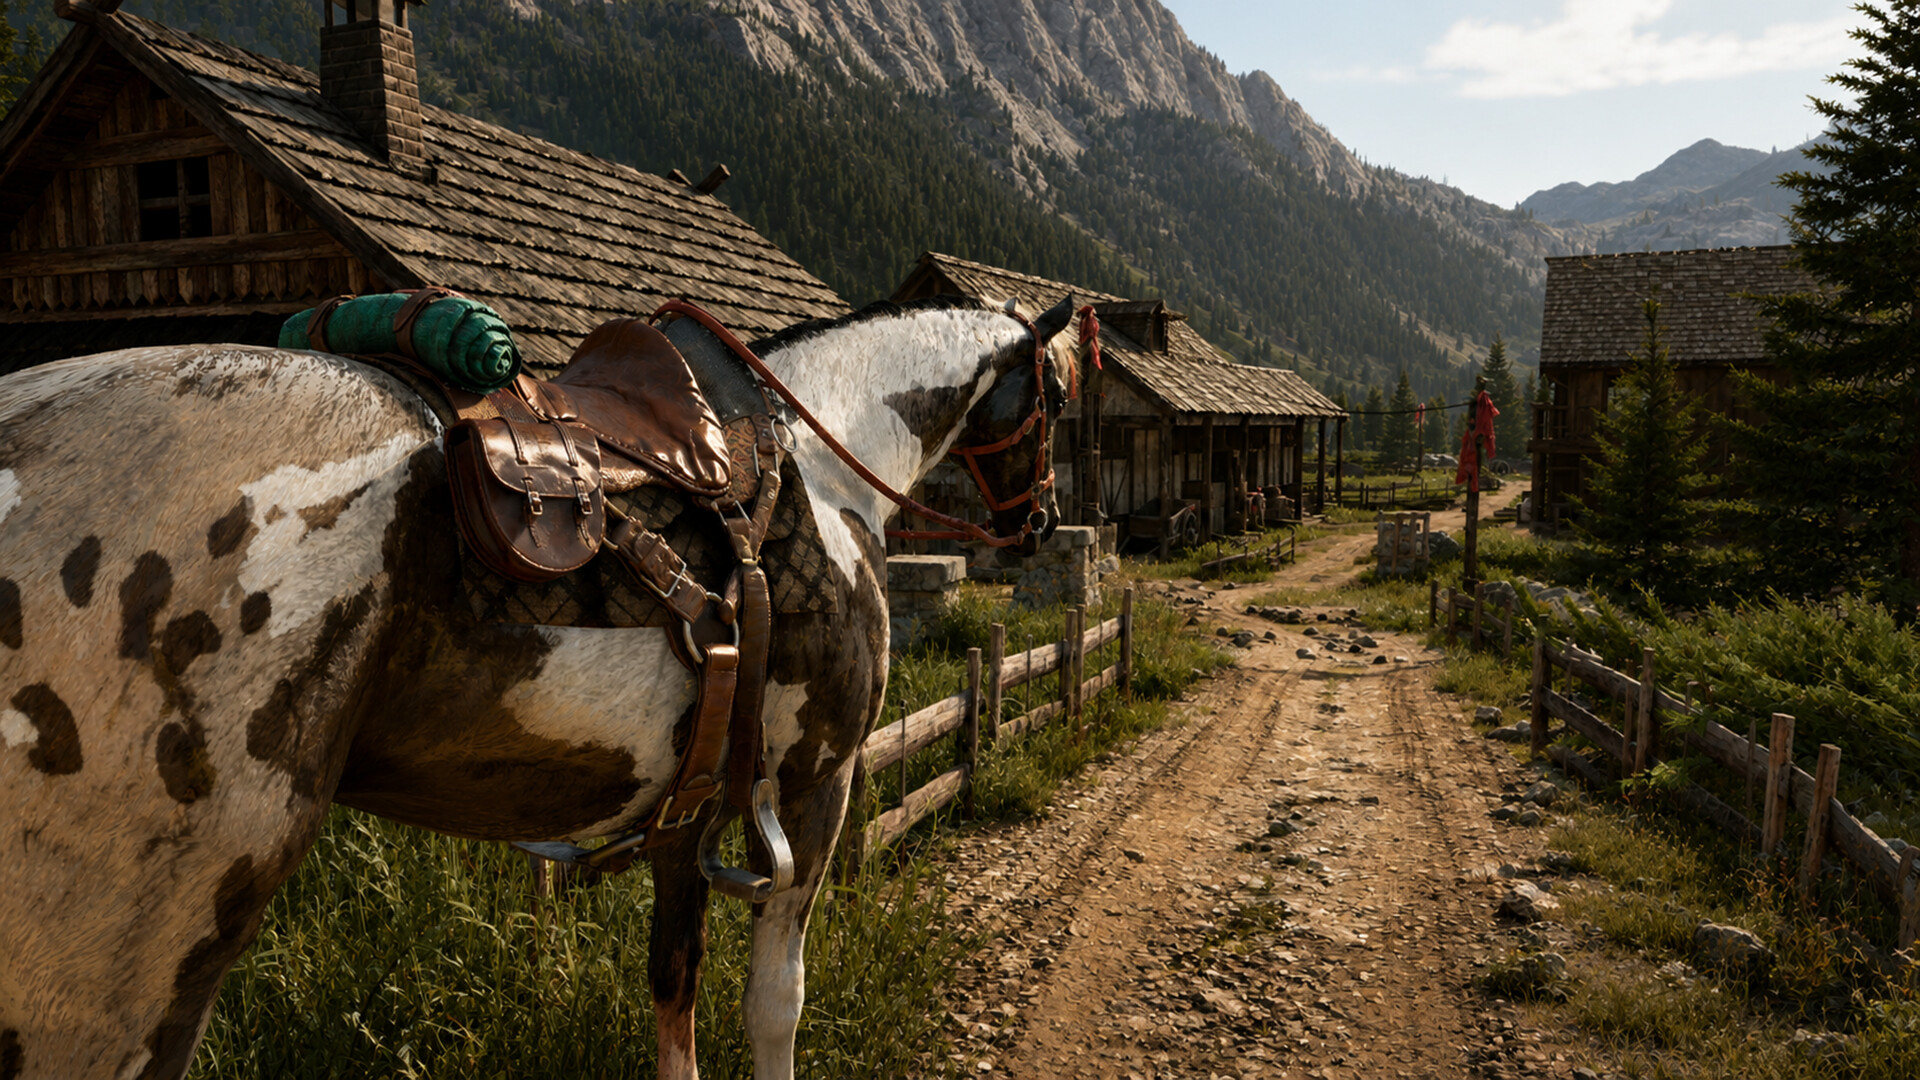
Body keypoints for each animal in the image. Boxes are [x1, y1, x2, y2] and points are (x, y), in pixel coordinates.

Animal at [0, 294, 1077, 1080]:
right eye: (1059, 399)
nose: (1037, 521)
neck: (821, 459)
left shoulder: (686, 814)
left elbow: (674, 988)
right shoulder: (820, 780)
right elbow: (776, 1004)